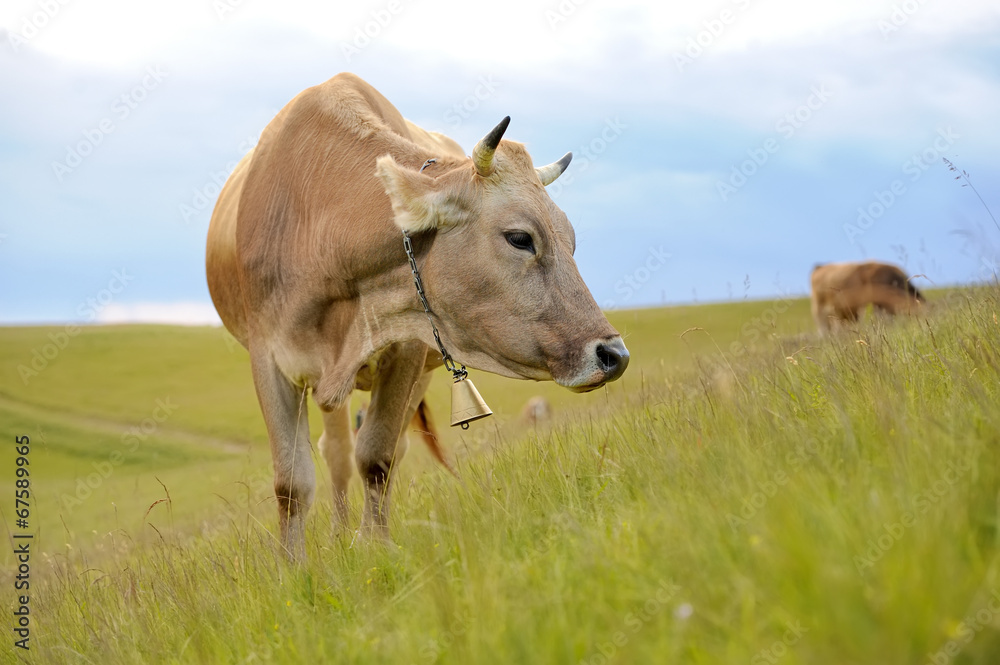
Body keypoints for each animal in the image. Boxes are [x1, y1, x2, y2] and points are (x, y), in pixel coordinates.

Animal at [204, 72, 628, 556]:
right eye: (520, 238)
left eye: (571, 241)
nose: (615, 354)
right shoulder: (269, 359)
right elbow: (292, 483)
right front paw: (294, 567)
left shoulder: (407, 348)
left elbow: (377, 456)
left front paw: (375, 548)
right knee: (336, 451)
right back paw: (337, 533)